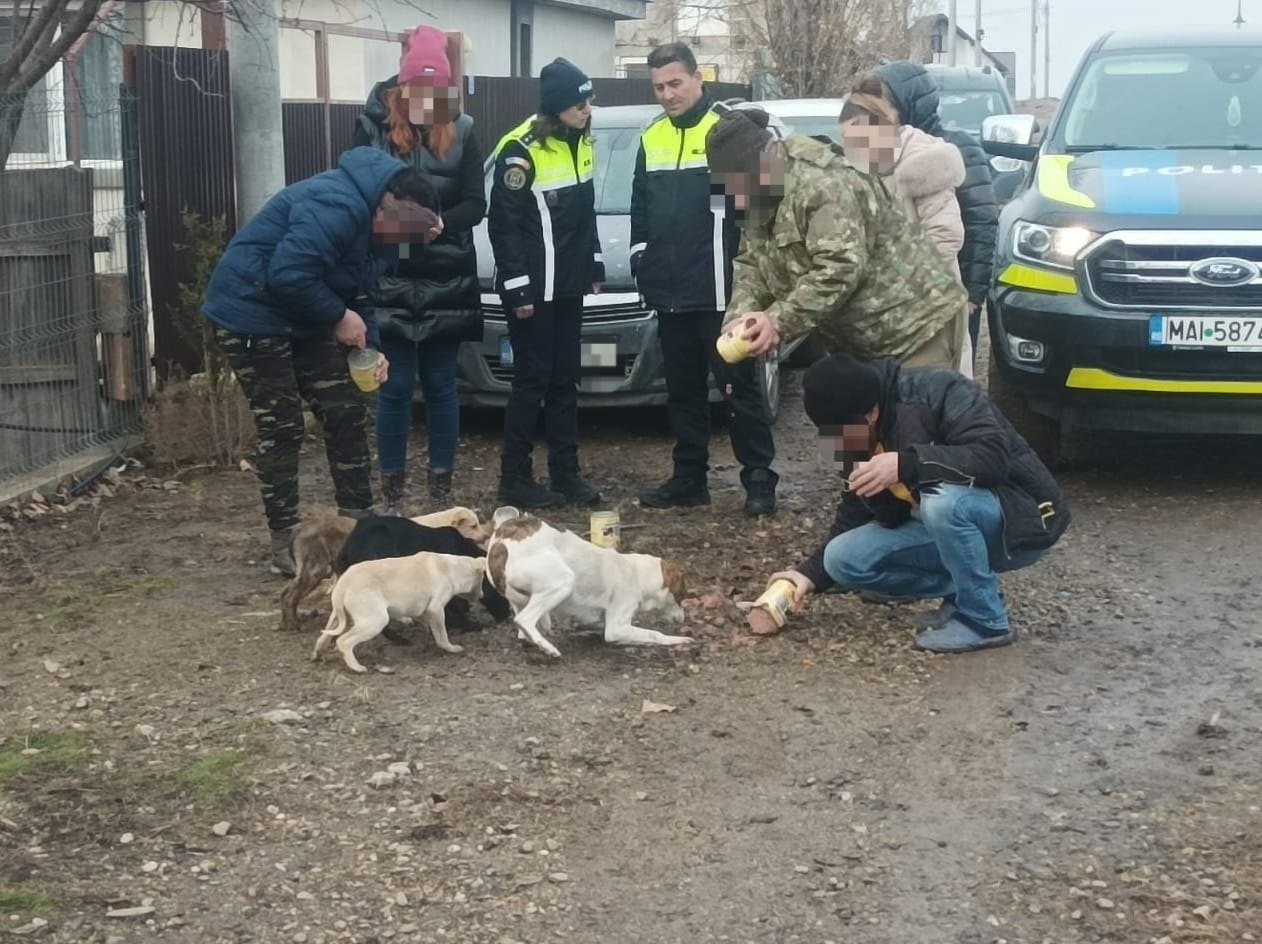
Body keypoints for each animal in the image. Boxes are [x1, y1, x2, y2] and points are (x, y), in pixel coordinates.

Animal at [281, 504, 487, 631]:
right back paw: (294, 624)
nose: (486, 536)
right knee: (290, 596)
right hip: (315, 571)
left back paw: (286, 623)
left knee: (285, 592)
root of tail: (301, 528)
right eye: (474, 526)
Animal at [338, 517, 514, 641]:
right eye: (500, 590)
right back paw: (400, 639)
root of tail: (349, 547)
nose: (507, 615)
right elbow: (455, 607)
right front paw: (468, 625)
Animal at [487, 512, 691, 661]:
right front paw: (678, 639)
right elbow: (655, 634)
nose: (682, 619)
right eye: (682, 595)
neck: (637, 572)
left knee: (523, 630)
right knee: (524, 620)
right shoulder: (616, 627)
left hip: (524, 599)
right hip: (563, 581)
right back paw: (548, 648)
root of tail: (500, 540)